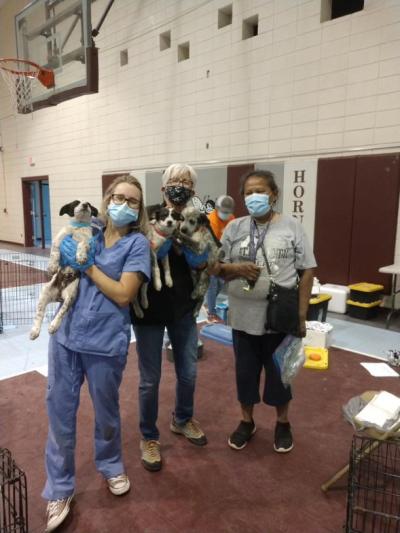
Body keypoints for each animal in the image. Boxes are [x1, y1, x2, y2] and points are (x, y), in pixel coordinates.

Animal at [29, 200, 97, 340]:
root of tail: (59, 294)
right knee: (39, 314)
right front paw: (52, 267)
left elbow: (83, 243)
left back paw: (53, 326)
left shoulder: (88, 241)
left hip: (70, 296)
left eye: (89, 204)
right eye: (76, 203)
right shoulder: (59, 239)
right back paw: (34, 331)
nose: (85, 204)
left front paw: (81, 256)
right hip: (44, 293)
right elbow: (55, 251)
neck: (78, 226)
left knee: (61, 312)